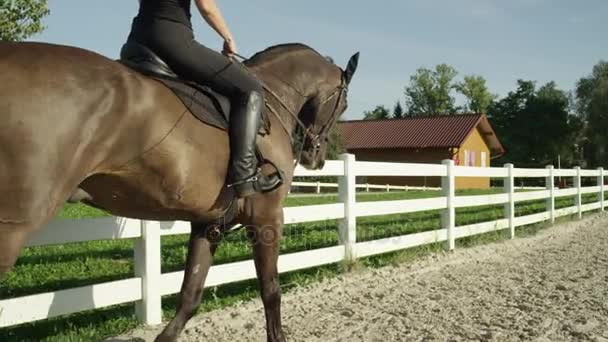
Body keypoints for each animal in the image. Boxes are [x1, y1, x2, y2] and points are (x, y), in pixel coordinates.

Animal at [0, 39, 358, 340]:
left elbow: (190, 295)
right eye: (343, 105)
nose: (315, 156)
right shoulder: (267, 218)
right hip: (13, 227)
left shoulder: (209, 223)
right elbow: (271, 291)